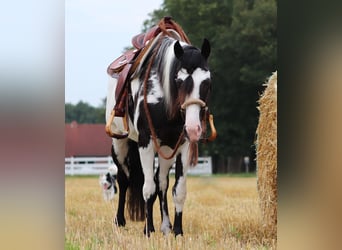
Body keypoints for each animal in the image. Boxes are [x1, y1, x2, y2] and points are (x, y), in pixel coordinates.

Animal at [105, 23, 215, 236]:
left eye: (207, 82)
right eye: (178, 80)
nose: (193, 128)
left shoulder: (182, 144)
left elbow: (178, 190)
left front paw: (177, 231)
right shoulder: (146, 142)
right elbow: (147, 189)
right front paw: (148, 230)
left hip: (165, 149)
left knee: (161, 183)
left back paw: (165, 226)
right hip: (119, 143)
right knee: (123, 179)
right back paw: (120, 220)